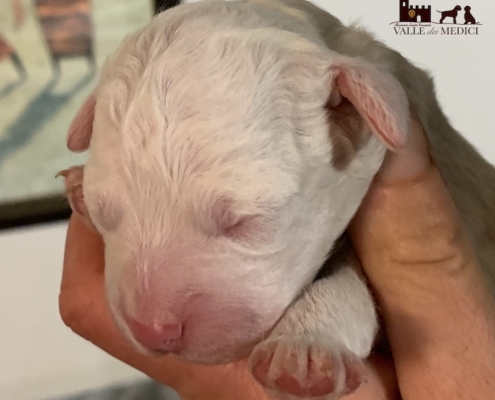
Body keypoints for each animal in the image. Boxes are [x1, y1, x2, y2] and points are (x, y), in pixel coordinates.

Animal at [58, 0, 495, 400]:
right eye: (105, 214)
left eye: (242, 221)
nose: (153, 330)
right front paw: (78, 186)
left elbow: (351, 285)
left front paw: (303, 350)